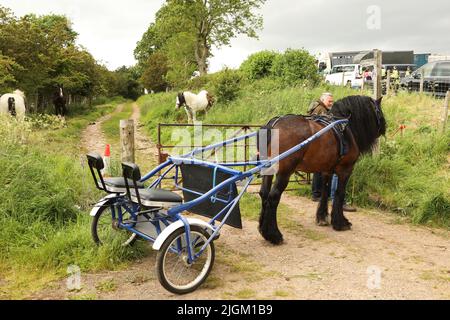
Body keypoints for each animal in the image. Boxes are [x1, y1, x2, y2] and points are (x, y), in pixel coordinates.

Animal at [258, 95, 384, 245]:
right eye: (379, 111)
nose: (384, 126)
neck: (345, 127)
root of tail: (274, 124)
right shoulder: (345, 170)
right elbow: (339, 193)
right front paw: (340, 222)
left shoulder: (326, 170)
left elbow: (325, 191)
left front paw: (322, 217)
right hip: (284, 173)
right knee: (273, 197)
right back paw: (274, 235)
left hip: (268, 170)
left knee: (264, 193)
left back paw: (263, 230)